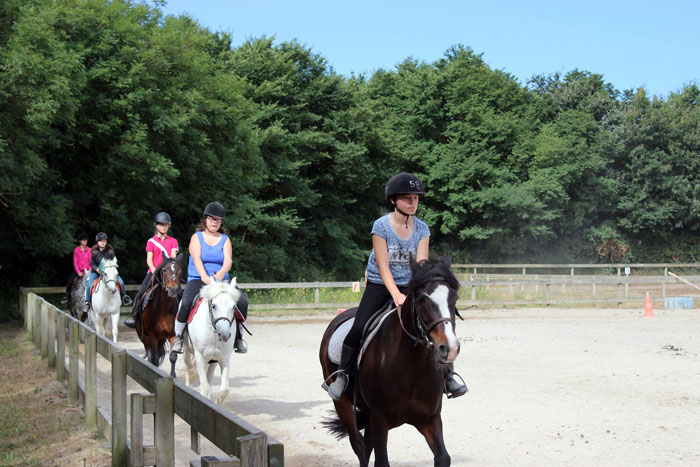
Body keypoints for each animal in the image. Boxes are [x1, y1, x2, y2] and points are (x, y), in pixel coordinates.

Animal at [180, 278, 241, 406]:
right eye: (213, 306)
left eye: (233, 307)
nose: (224, 334)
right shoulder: (200, 358)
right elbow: (204, 388)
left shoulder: (224, 359)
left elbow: (224, 389)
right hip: (187, 353)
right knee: (188, 368)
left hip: (213, 360)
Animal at [320, 256, 462, 467]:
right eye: (422, 300)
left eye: (454, 299)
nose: (450, 348)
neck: (412, 368)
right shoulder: (380, 419)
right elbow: (381, 461)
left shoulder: (430, 419)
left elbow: (443, 457)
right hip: (343, 405)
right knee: (359, 445)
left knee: (366, 445)